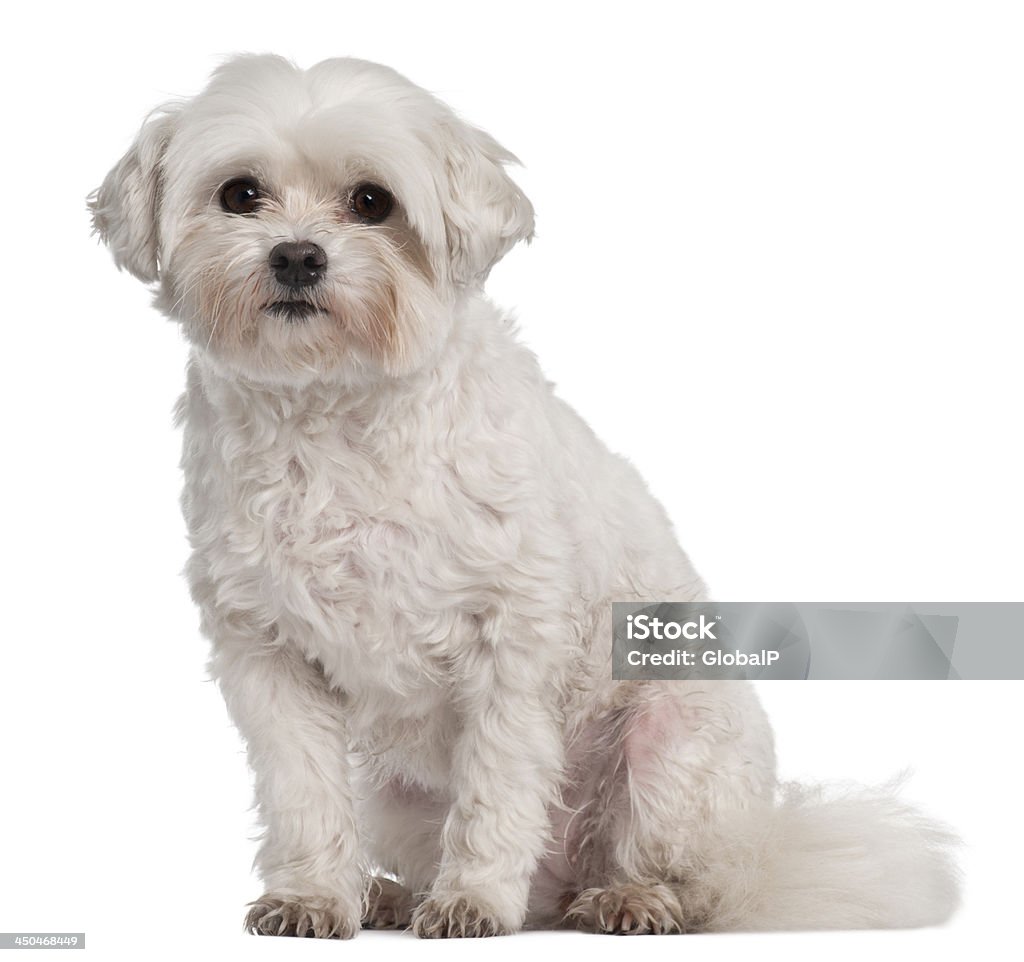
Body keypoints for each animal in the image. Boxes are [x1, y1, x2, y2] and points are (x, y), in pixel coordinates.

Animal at [90, 54, 958, 938]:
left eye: (371, 202)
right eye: (240, 194)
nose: (297, 257)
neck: (335, 407)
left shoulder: (509, 642)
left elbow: (496, 788)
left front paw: (472, 900)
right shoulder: (267, 652)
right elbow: (303, 793)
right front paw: (313, 896)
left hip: (671, 740)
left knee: (697, 880)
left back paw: (631, 897)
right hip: (395, 795)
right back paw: (390, 894)